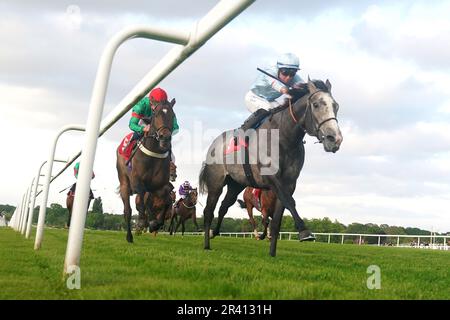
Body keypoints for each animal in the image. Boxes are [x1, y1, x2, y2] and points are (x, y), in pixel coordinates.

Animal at [116, 97, 176, 242]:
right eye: (156, 115)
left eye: (173, 115)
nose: (165, 137)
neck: (153, 153)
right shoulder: (137, 181)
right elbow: (143, 198)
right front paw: (143, 222)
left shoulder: (160, 186)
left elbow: (165, 201)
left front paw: (155, 224)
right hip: (124, 183)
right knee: (128, 210)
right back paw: (130, 236)